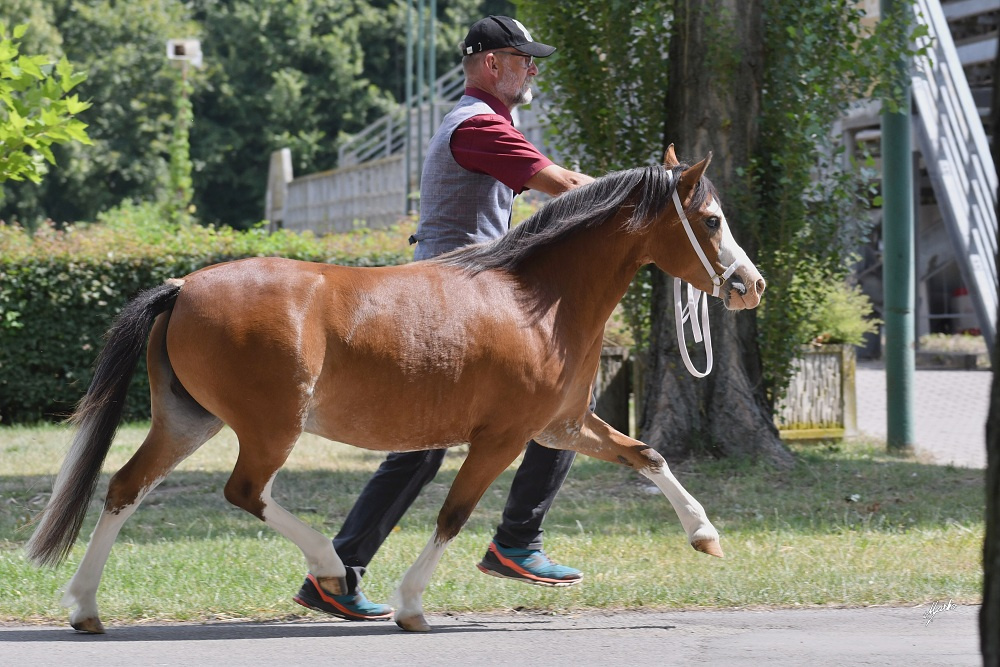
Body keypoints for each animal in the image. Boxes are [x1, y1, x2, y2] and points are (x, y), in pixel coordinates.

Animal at [26, 147, 765, 633]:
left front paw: (705, 535)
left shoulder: (561, 424)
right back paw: (331, 571)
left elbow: (647, 454)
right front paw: (412, 604)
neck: (537, 301)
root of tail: (182, 287)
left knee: (126, 486)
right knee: (245, 491)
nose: (749, 284)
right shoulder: (500, 437)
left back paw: (85, 607)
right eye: (711, 220)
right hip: (269, 425)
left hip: (188, 419)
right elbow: (452, 515)